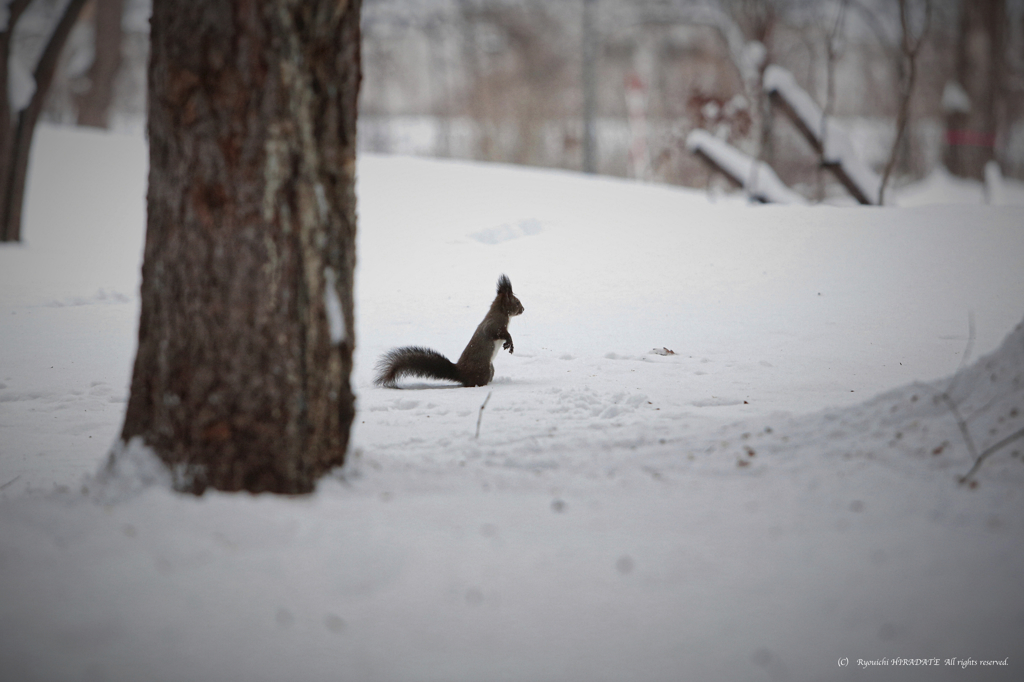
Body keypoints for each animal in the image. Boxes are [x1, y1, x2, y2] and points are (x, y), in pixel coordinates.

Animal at [372, 272, 524, 387]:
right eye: (517, 302)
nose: (523, 309)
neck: (501, 312)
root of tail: (460, 373)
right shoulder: (494, 324)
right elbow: (498, 333)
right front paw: (509, 343)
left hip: (490, 368)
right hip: (484, 369)